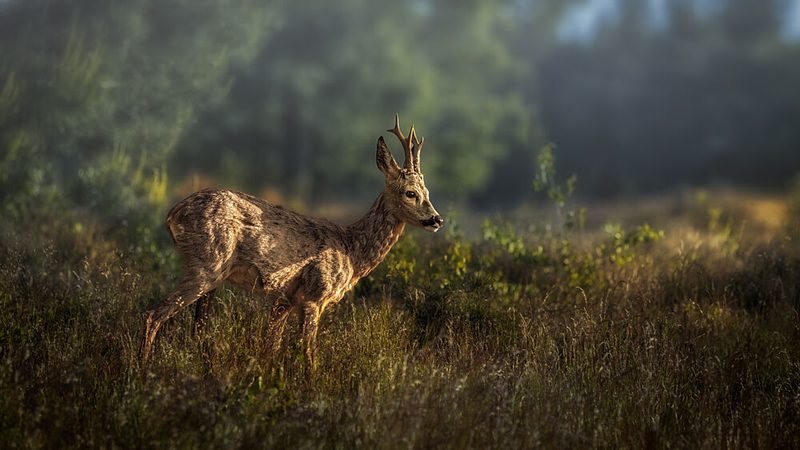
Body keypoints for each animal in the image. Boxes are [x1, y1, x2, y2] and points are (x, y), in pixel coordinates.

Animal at [140, 115, 443, 371]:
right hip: (207, 264)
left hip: (213, 277)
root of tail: (172, 214)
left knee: (197, 328)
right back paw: (141, 371)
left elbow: (269, 348)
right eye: (410, 193)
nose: (436, 219)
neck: (351, 250)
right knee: (153, 314)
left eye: (428, 192)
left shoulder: (285, 299)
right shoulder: (315, 295)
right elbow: (309, 353)